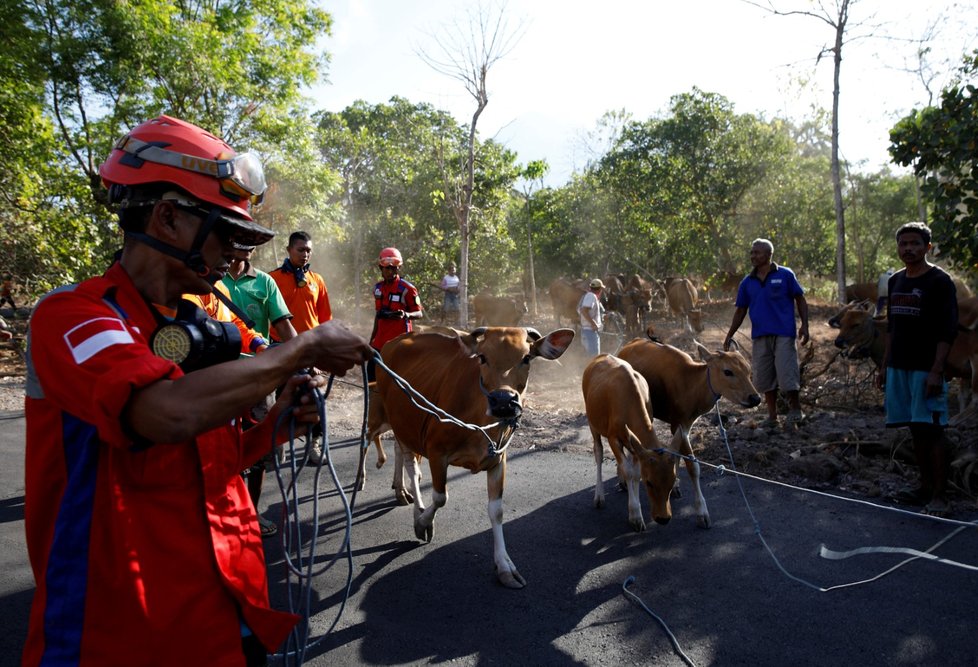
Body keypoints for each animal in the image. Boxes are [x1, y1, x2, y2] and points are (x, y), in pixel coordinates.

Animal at [372, 326, 572, 588]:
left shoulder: (499, 460)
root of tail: (391, 343)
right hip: (401, 423)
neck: (479, 424)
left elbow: (496, 511)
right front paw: (423, 523)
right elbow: (440, 497)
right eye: (482, 357)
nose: (503, 401)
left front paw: (504, 566)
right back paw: (416, 508)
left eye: (527, 357)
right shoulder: (436, 451)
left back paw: (400, 490)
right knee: (411, 466)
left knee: (399, 453)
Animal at [584, 354, 684, 532]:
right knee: (598, 453)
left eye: (673, 481)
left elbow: (635, 472)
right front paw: (635, 515)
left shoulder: (636, 444)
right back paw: (599, 496)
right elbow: (629, 471)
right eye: (649, 482)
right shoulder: (613, 438)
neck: (628, 402)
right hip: (592, 423)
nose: (664, 518)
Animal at [616, 340, 764, 528]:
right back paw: (622, 480)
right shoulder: (678, 423)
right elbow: (693, 466)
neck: (692, 387)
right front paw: (702, 512)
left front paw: (675, 485)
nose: (755, 398)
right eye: (728, 371)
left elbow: (677, 457)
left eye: (748, 368)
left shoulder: (686, 426)